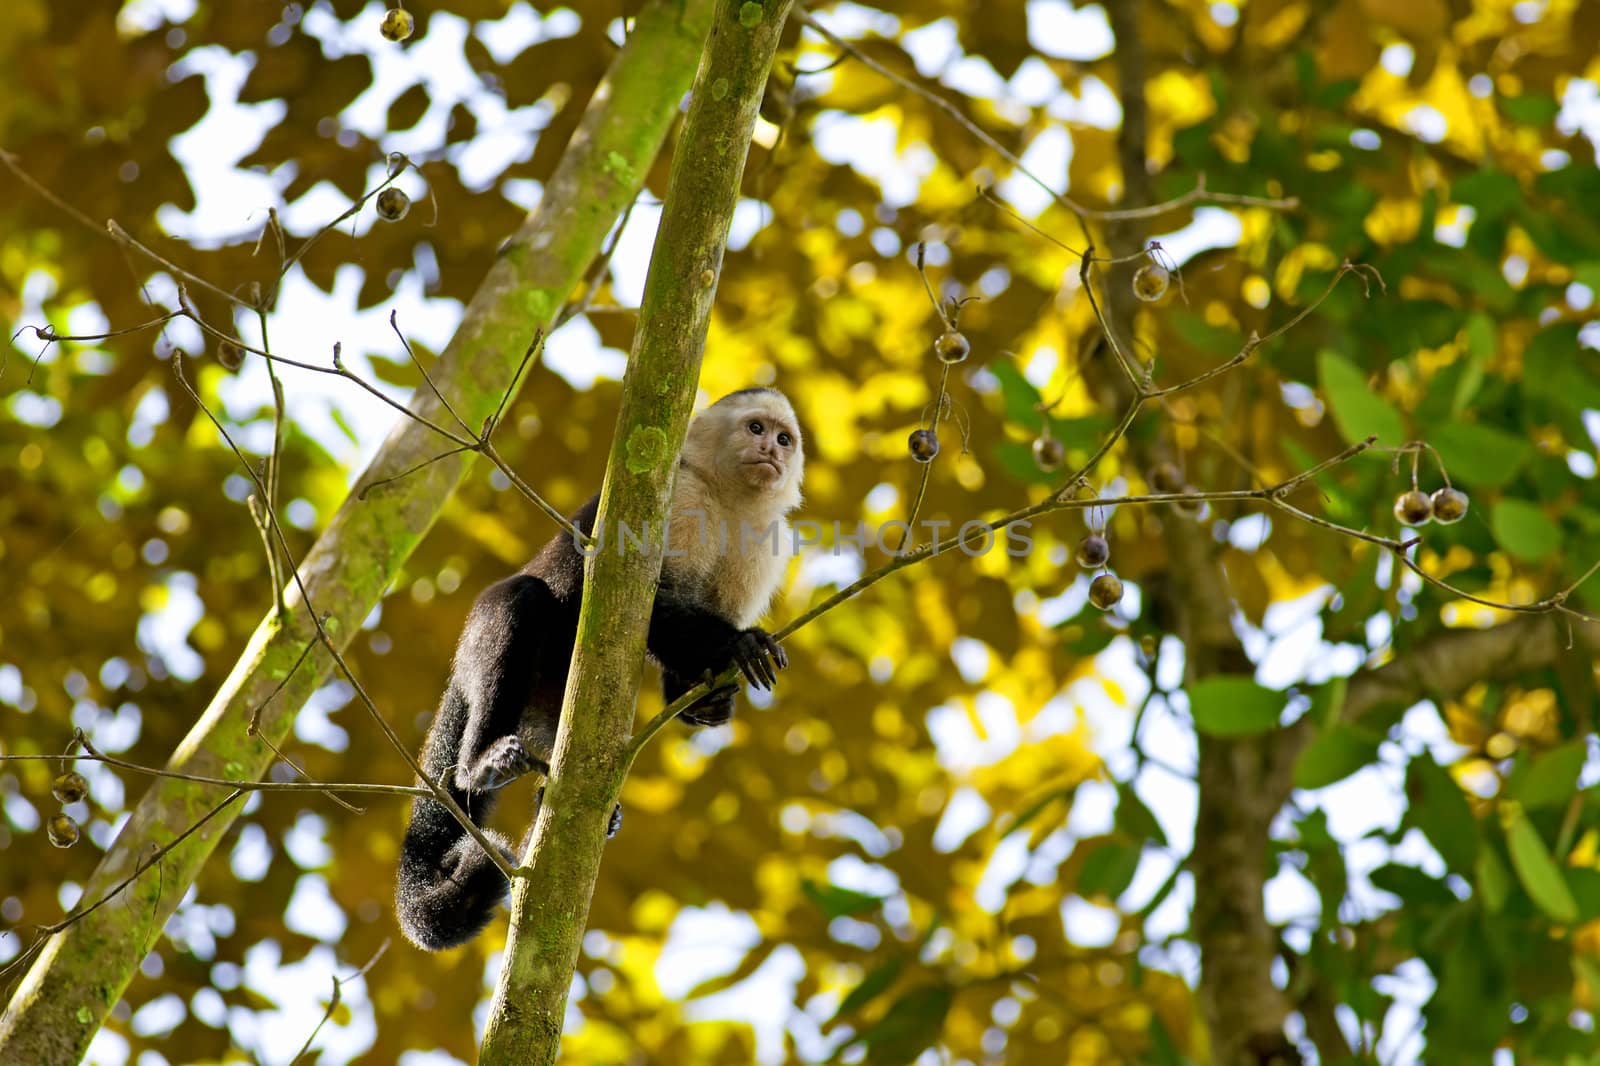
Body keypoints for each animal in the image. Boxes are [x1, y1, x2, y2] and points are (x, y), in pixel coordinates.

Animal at [395, 388, 806, 947]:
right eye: (756, 428)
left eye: (785, 438)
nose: (772, 452)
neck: (727, 503)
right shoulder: (680, 497)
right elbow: (645, 603)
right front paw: (740, 642)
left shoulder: (765, 542)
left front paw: (707, 700)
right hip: (482, 641)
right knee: (521, 602)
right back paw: (482, 762)